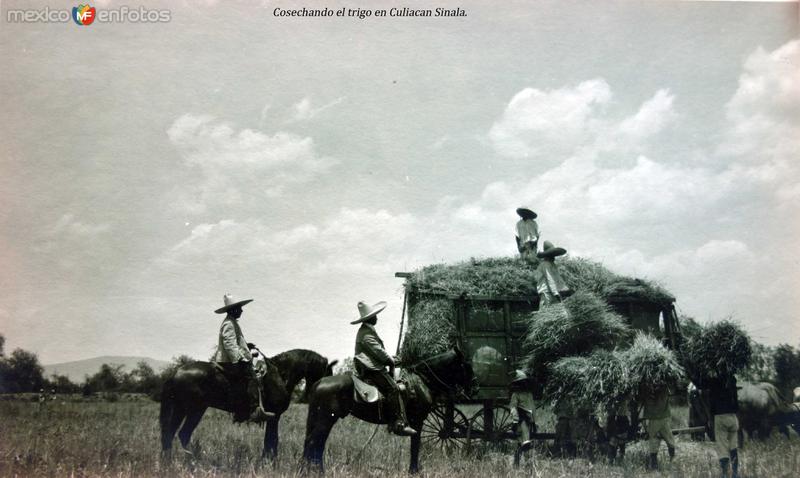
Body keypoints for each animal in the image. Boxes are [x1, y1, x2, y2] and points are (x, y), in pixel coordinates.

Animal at [159, 356, 290, 458]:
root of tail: (176, 373)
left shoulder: (274, 418)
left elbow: (270, 441)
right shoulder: (275, 417)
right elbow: (272, 441)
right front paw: (270, 462)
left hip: (180, 409)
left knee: (169, 434)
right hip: (195, 410)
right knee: (183, 434)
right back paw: (193, 460)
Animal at [300, 348, 476, 474]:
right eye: (466, 365)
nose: (473, 387)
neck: (421, 381)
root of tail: (319, 382)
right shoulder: (417, 422)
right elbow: (415, 445)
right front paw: (414, 471)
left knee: (313, 443)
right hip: (327, 419)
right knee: (315, 443)